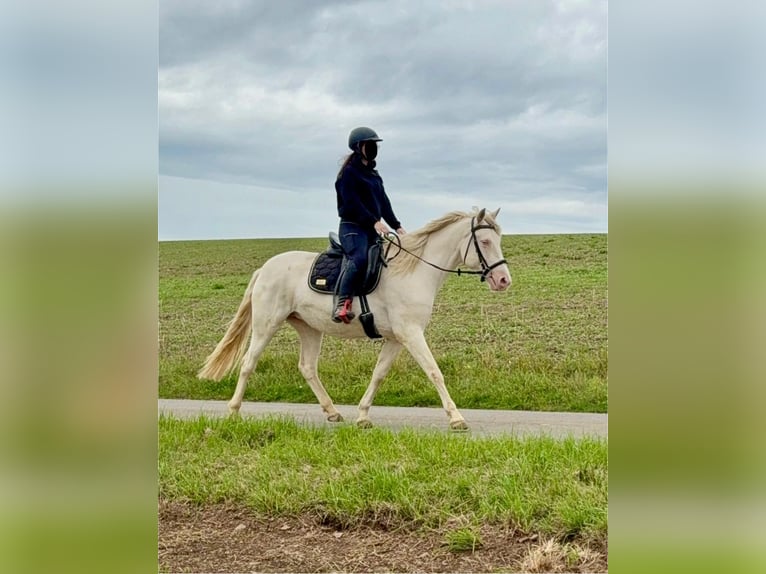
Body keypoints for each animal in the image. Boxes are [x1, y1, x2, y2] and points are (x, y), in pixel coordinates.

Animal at [197, 207, 512, 430]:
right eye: (485, 241)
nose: (503, 280)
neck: (414, 270)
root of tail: (264, 268)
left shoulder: (396, 338)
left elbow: (379, 374)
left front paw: (362, 416)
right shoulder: (411, 333)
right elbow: (434, 371)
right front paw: (456, 418)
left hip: (309, 328)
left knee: (307, 368)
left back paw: (333, 412)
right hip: (266, 325)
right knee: (248, 363)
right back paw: (233, 411)